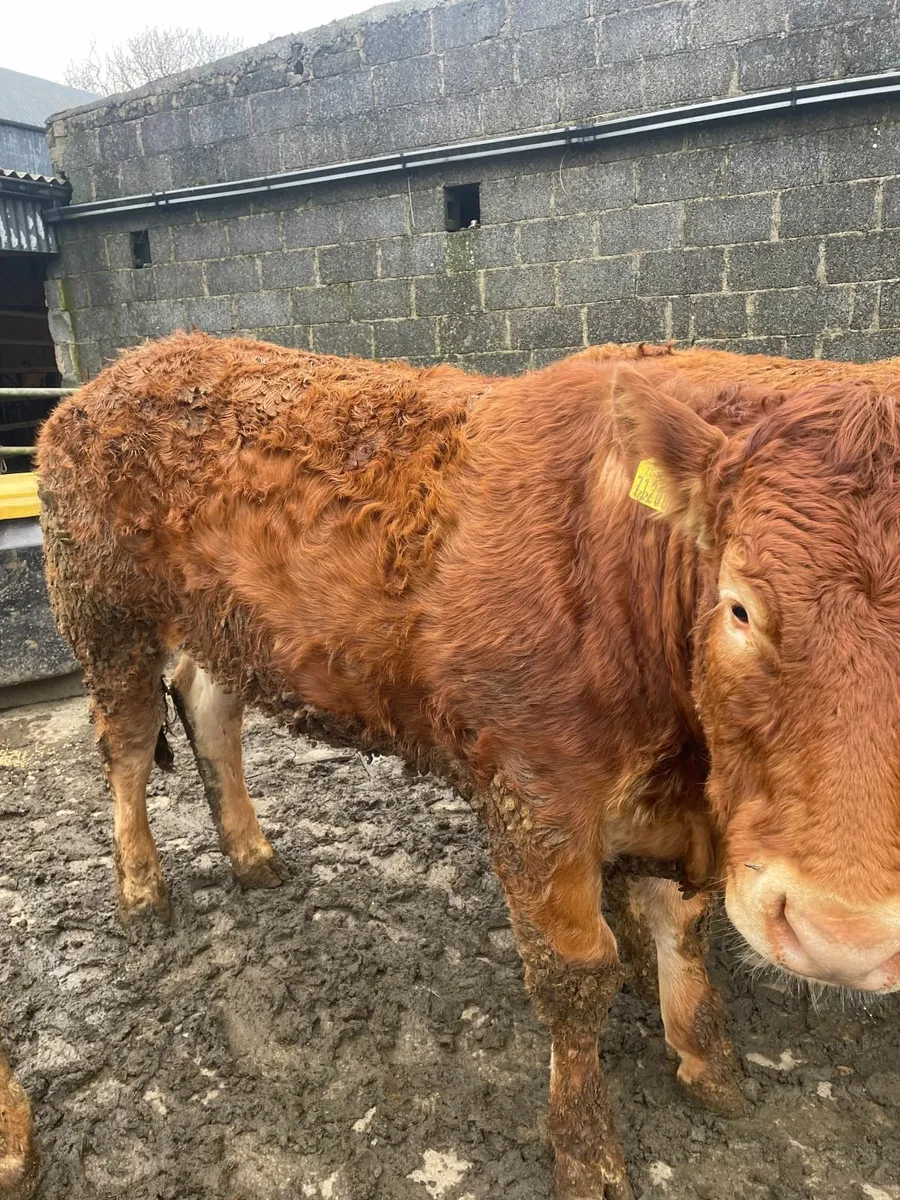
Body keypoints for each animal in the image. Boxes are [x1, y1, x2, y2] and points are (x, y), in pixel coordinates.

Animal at [30, 329, 900, 1199]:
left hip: (228, 627)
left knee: (208, 707)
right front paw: (586, 1151)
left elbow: (681, 931)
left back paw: (251, 854)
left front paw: (705, 1060)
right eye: (740, 605)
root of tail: (134, 364)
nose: (842, 936)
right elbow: (576, 976)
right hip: (103, 614)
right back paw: (142, 894)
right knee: (127, 751)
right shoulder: (535, 795)